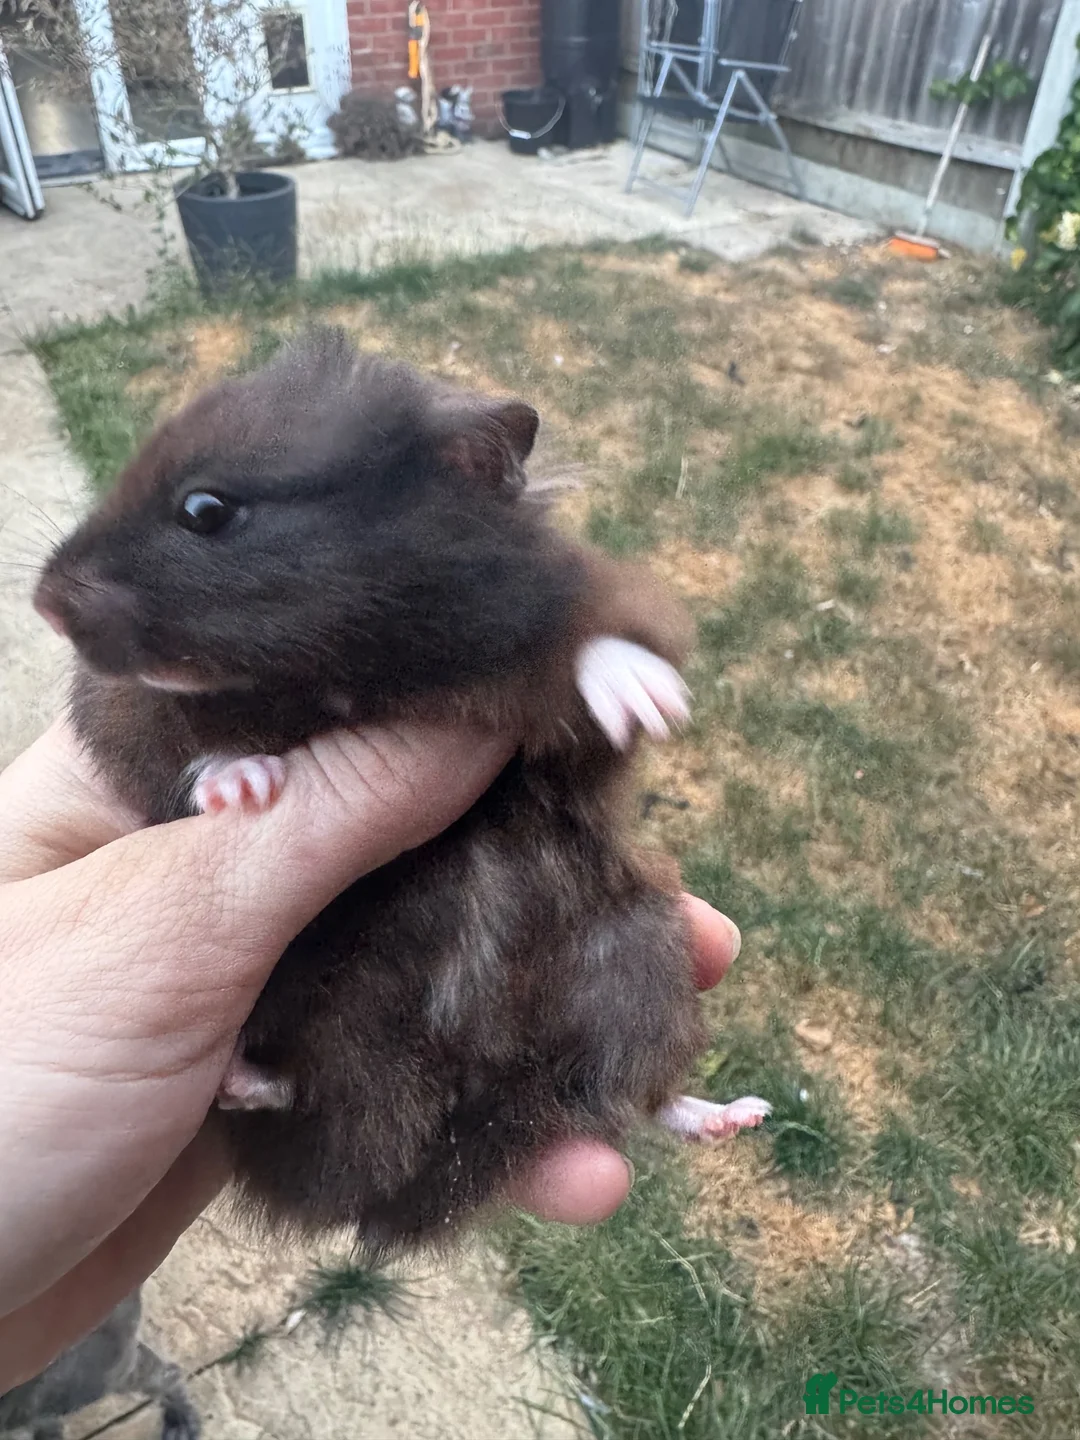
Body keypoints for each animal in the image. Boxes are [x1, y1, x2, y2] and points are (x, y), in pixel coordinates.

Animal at [35, 328, 768, 1252]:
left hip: (638, 957)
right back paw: (238, 1075)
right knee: (292, 1086)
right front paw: (248, 787)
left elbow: (589, 651)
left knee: (644, 1092)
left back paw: (737, 1114)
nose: (43, 603)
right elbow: (182, 747)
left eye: (206, 510)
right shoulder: (119, 714)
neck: (358, 664)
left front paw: (653, 699)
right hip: (312, 998)